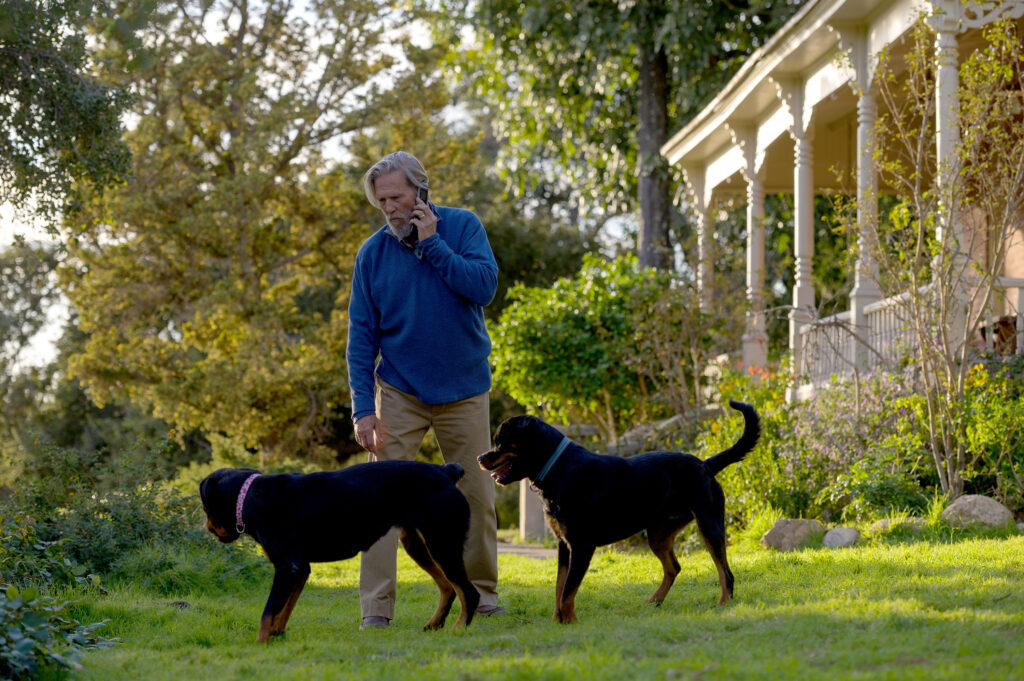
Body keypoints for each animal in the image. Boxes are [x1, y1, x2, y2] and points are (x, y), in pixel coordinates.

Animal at [198, 458, 479, 639]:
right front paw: (278, 634)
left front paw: (262, 643)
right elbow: (285, 608)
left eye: (205, 506)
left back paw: (459, 628)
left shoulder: (288, 567)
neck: (249, 496)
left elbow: (268, 612)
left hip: (442, 542)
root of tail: (446, 471)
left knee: (469, 591)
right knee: (448, 587)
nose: (207, 527)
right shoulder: (300, 569)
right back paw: (435, 624)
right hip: (419, 544)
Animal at [479, 399, 761, 622]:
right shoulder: (563, 545)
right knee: (674, 568)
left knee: (725, 573)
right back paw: (654, 601)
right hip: (658, 534)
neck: (558, 469)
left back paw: (724, 605)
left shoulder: (581, 545)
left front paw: (569, 621)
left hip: (709, 524)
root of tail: (705, 464)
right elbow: (559, 586)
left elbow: (568, 589)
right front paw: (557, 620)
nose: (480, 458)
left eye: (501, 442)